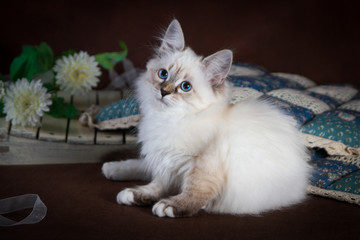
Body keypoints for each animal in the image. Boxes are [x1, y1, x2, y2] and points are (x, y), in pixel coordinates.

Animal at [102, 19, 310, 218]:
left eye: (185, 87)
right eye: (163, 74)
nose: (164, 91)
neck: (169, 119)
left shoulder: (203, 165)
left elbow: (193, 190)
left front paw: (171, 206)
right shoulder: (165, 163)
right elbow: (158, 184)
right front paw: (138, 194)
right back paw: (111, 168)